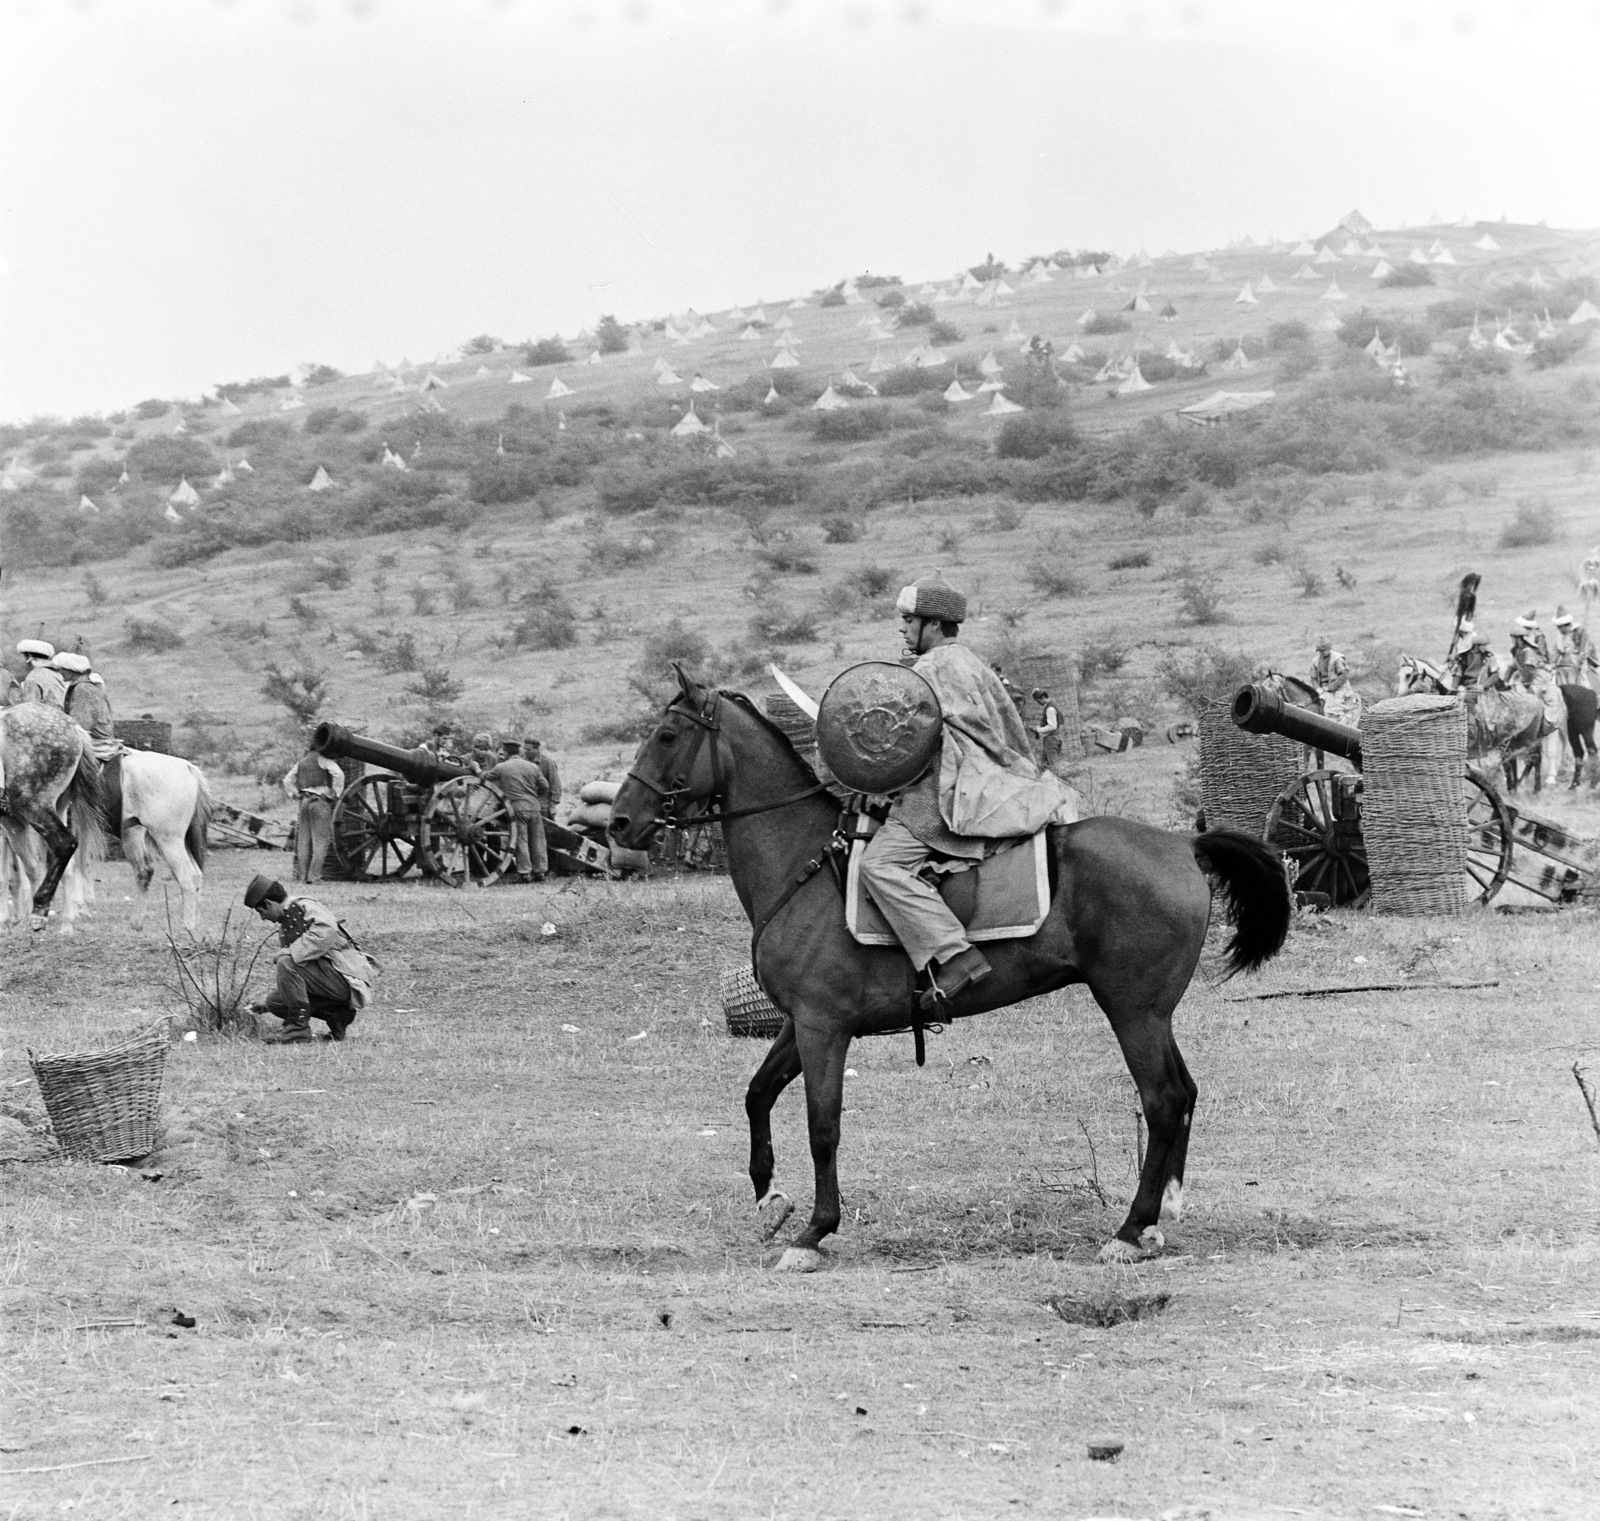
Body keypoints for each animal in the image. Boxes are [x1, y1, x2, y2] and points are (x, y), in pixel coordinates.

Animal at [604, 671, 1292, 1266]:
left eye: (668, 735)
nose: (618, 823)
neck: (803, 865)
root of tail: (1185, 844)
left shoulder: (824, 1027)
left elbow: (823, 1125)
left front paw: (815, 1232)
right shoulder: (800, 1023)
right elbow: (756, 1094)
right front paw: (770, 1199)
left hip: (1132, 1011)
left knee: (1163, 1098)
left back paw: (1128, 1229)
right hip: (1151, 1013)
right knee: (1185, 1094)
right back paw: (1159, 1217)